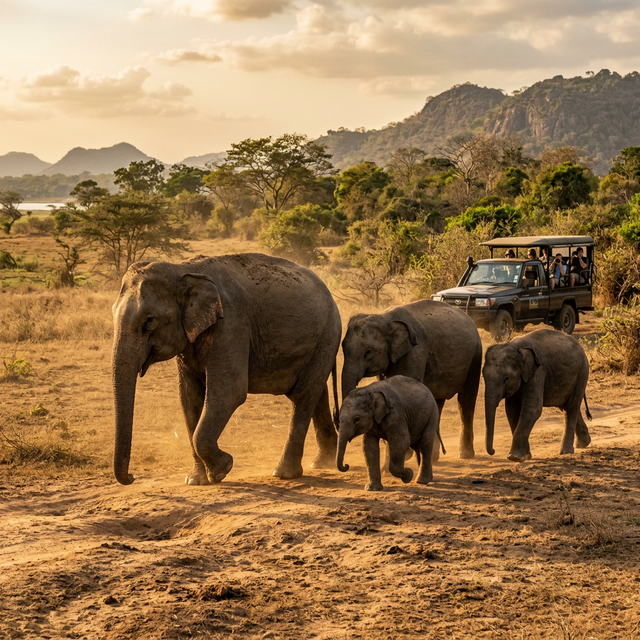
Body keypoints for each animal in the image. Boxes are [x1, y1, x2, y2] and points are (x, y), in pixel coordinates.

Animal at [111, 253, 342, 486]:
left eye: (149, 321)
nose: (131, 477)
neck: (183, 268)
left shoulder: (231, 325)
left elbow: (229, 393)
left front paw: (223, 469)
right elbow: (189, 398)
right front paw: (196, 480)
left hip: (328, 335)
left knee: (303, 396)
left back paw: (285, 474)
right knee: (317, 393)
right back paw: (323, 463)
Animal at [341, 300, 483, 460]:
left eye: (368, 352)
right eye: (343, 349)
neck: (385, 318)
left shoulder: (415, 352)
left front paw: (405, 454)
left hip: (475, 356)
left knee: (466, 402)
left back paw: (464, 455)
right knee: (437, 403)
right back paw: (433, 458)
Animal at [483, 329, 592, 462]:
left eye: (506, 379)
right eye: (483, 376)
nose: (493, 451)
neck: (516, 348)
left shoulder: (538, 372)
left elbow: (532, 410)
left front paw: (515, 457)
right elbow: (512, 411)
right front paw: (525, 456)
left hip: (582, 372)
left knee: (571, 407)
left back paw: (566, 452)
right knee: (566, 406)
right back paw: (583, 444)